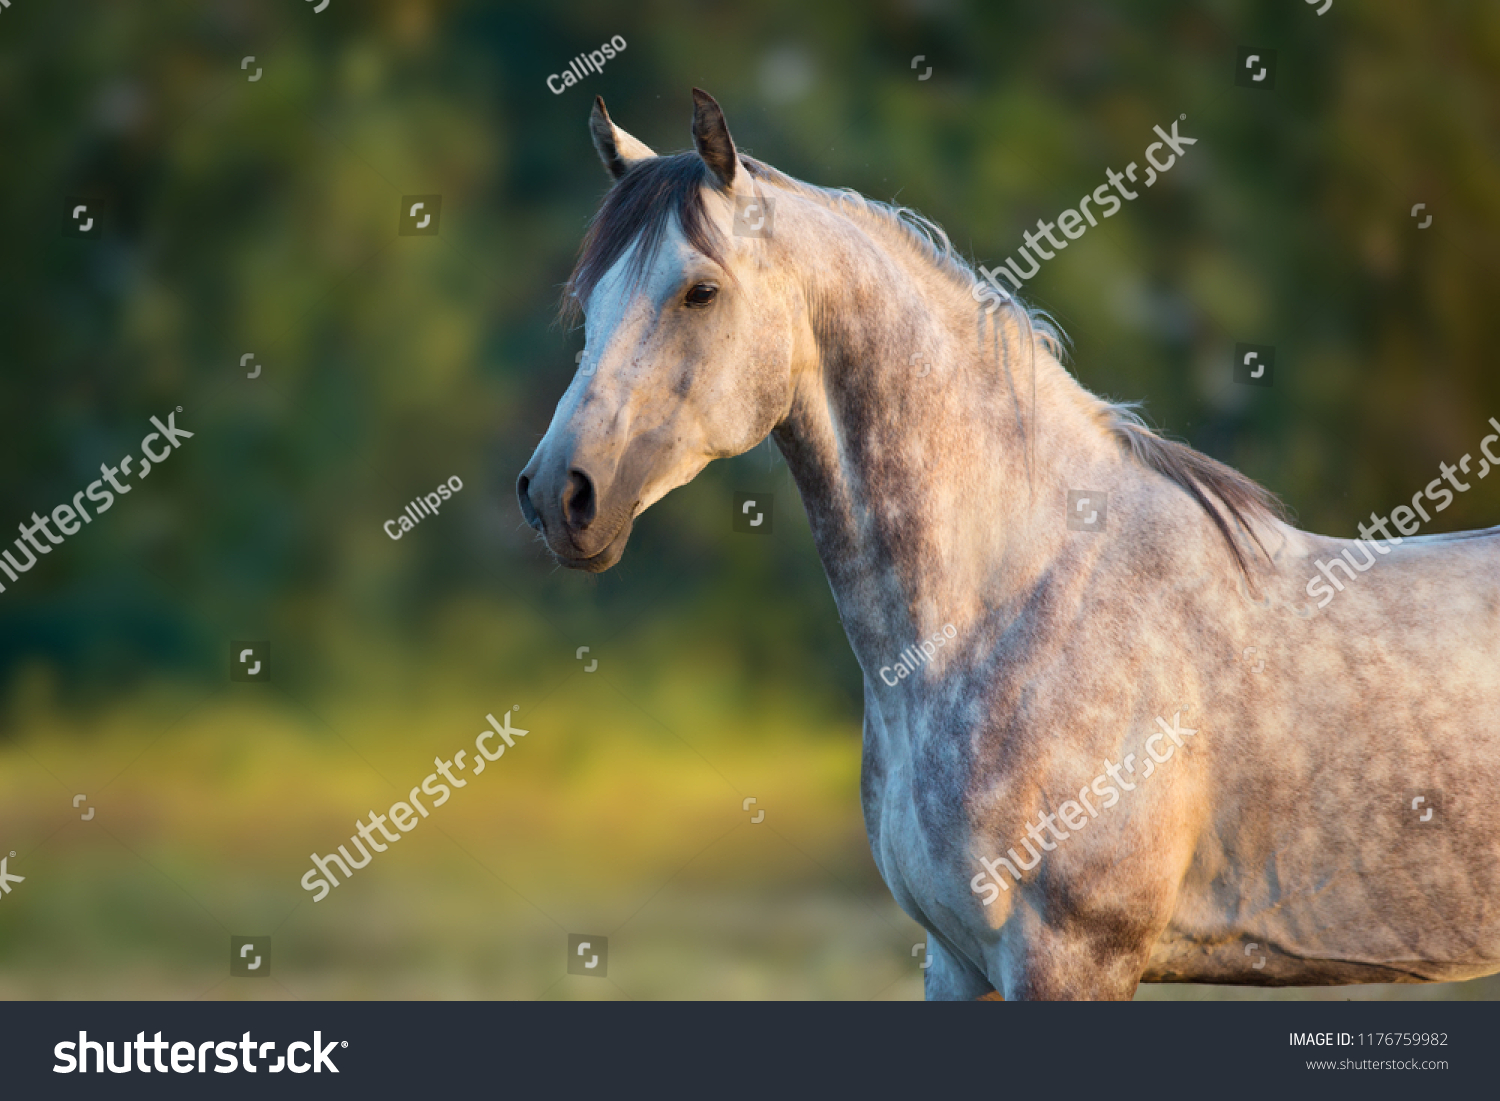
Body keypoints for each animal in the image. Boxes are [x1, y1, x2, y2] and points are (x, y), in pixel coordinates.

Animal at [519, 90, 1500, 1002]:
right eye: (589, 298)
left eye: (701, 290)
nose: (559, 494)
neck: (1008, 603)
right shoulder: (955, 959)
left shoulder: (1070, 958)